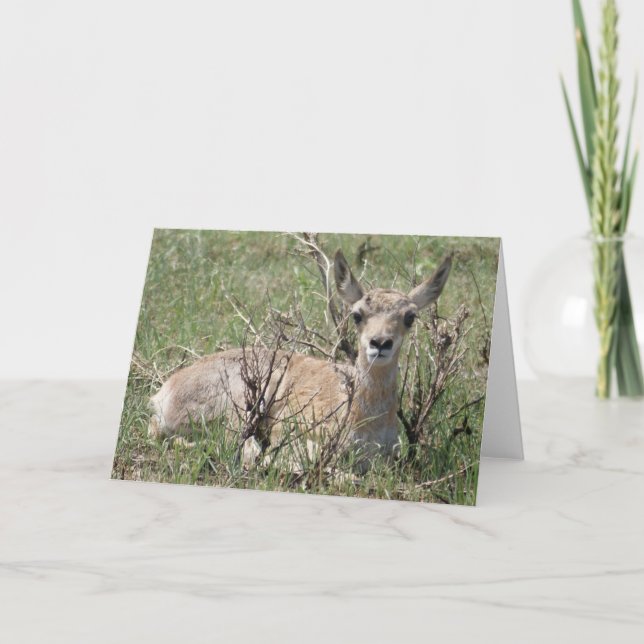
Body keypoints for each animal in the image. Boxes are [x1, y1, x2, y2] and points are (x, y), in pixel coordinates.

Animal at [148, 250, 452, 465]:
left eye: (410, 316)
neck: (364, 420)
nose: (379, 343)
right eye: (357, 314)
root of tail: (165, 391)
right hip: (241, 406)